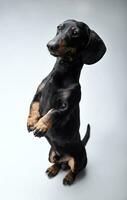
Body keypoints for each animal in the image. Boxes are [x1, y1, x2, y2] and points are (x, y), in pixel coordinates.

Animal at [26, 19, 106, 185]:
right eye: (59, 27)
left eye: (75, 33)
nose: (50, 45)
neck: (60, 74)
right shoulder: (38, 94)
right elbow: (34, 106)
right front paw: (31, 122)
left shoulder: (67, 105)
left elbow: (53, 112)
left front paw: (41, 125)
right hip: (51, 154)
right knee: (57, 162)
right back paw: (53, 169)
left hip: (79, 159)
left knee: (75, 169)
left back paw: (69, 177)